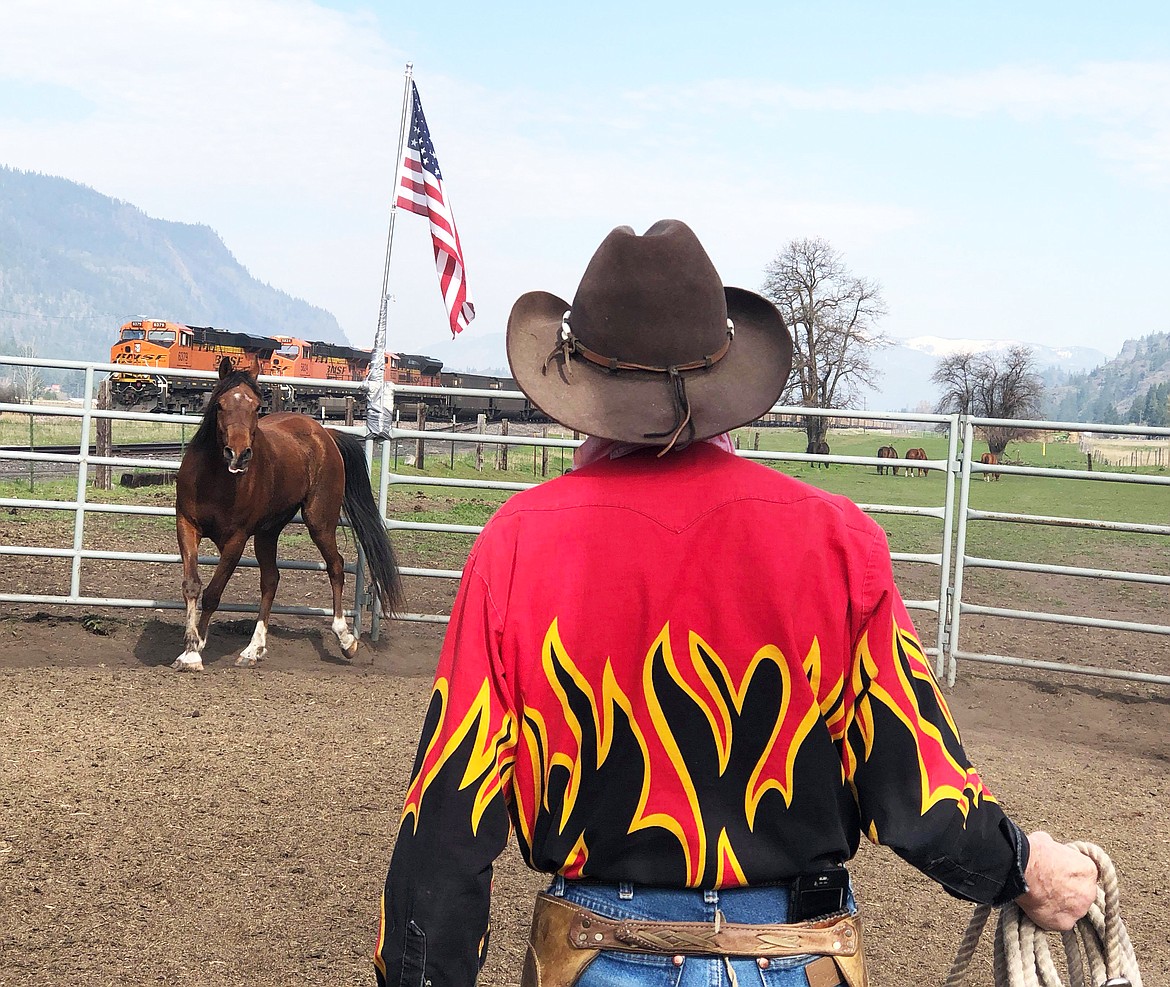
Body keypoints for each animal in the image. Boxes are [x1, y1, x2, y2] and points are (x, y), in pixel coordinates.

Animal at [170, 357, 404, 673]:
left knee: (336, 566)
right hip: (267, 533)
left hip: (319, 521)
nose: (239, 454)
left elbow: (214, 592)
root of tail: (325, 434)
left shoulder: (236, 540)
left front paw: (196, 651)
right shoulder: (187, 525)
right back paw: (253, 649)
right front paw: (190, 648)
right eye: (219, 404)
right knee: (271, 579)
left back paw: (346, 640)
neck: (216, 479)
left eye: (257, 406)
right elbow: (193, 586)